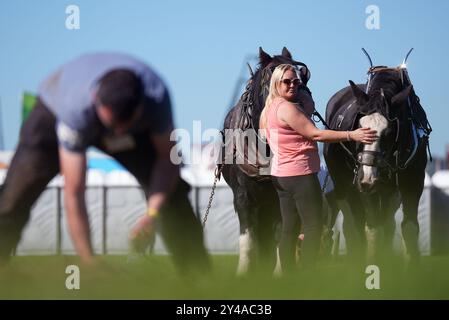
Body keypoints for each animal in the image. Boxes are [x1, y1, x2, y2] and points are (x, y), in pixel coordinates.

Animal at [218, 46, 312, 274]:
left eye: (302, 73)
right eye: (272, 72)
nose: (300, 98)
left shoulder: (282, 197)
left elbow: (281, 233)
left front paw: (280, 272)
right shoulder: (243, 197)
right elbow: (247, 235)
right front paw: (244, 272)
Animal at [324, 58, 428, 264]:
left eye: (389, 132)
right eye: (358, 127)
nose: (368, 178)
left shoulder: (413, 181)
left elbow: (409, 227)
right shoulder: (364, 187)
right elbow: (371, 227)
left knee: (386, 223)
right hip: (344, 186)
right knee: (352, 224)